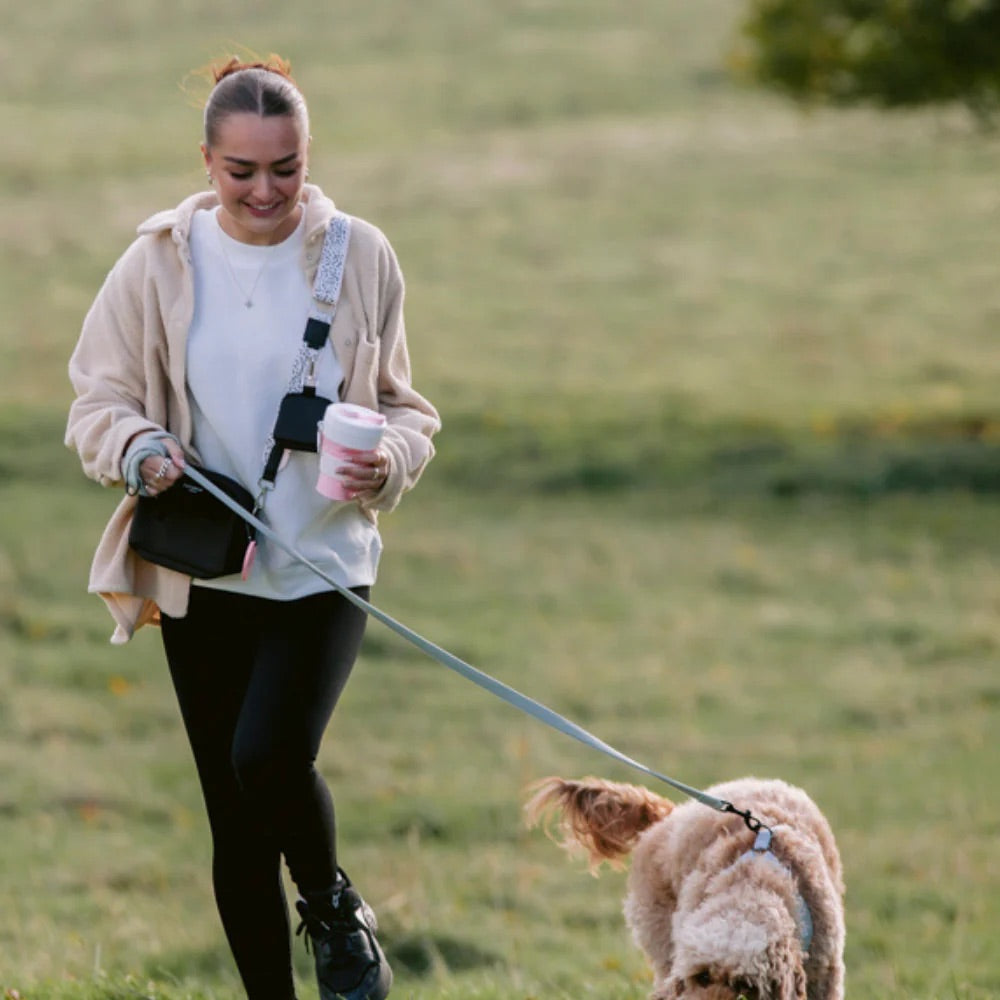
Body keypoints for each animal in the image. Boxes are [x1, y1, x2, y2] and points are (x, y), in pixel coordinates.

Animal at [524, 772, 844, 1000]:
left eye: (745, 987)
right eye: (702, 977)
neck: (754, 882)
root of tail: (668, 816)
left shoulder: (824, 970)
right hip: (660, 933)